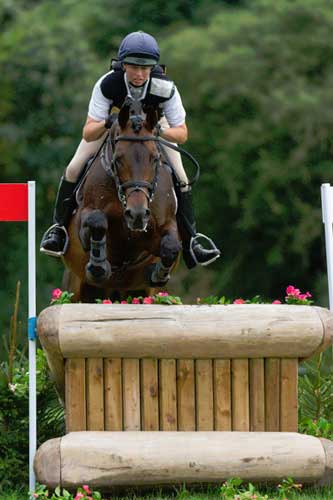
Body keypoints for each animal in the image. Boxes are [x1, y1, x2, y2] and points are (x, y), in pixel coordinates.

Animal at [62, 98, 182, 300]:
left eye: (155, 159)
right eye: (118, 159)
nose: (137, 215)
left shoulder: (164, 226)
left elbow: (171, 246)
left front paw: (157, 274)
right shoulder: (84, 217)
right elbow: (97, 220)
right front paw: (98, 266)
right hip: (76, 287)